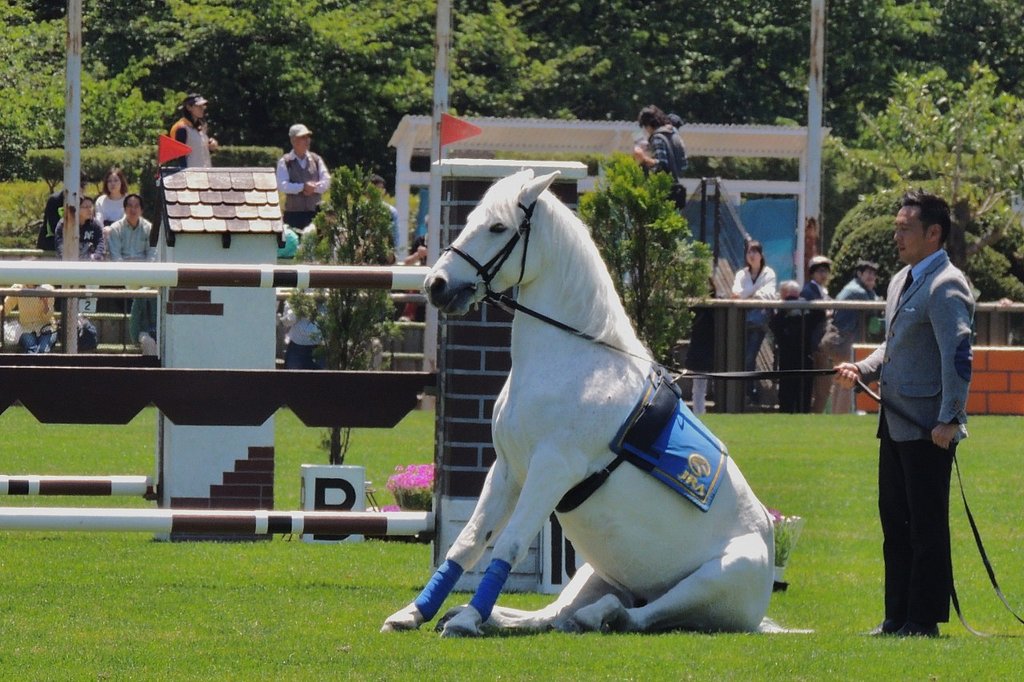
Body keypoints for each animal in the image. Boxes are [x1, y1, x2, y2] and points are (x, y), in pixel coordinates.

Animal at [382, 169, 775, 637]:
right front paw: (416, 612)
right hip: (593, 572)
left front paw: (467, 619)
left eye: (497, 227)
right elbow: (468, 541)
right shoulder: (508, 469)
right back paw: (497, 616)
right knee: (551, 616)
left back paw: (595, 615)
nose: (437, 285)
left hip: (716, 578)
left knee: (641, 615)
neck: (572, 361)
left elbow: (510, 544)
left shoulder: (551, 469)